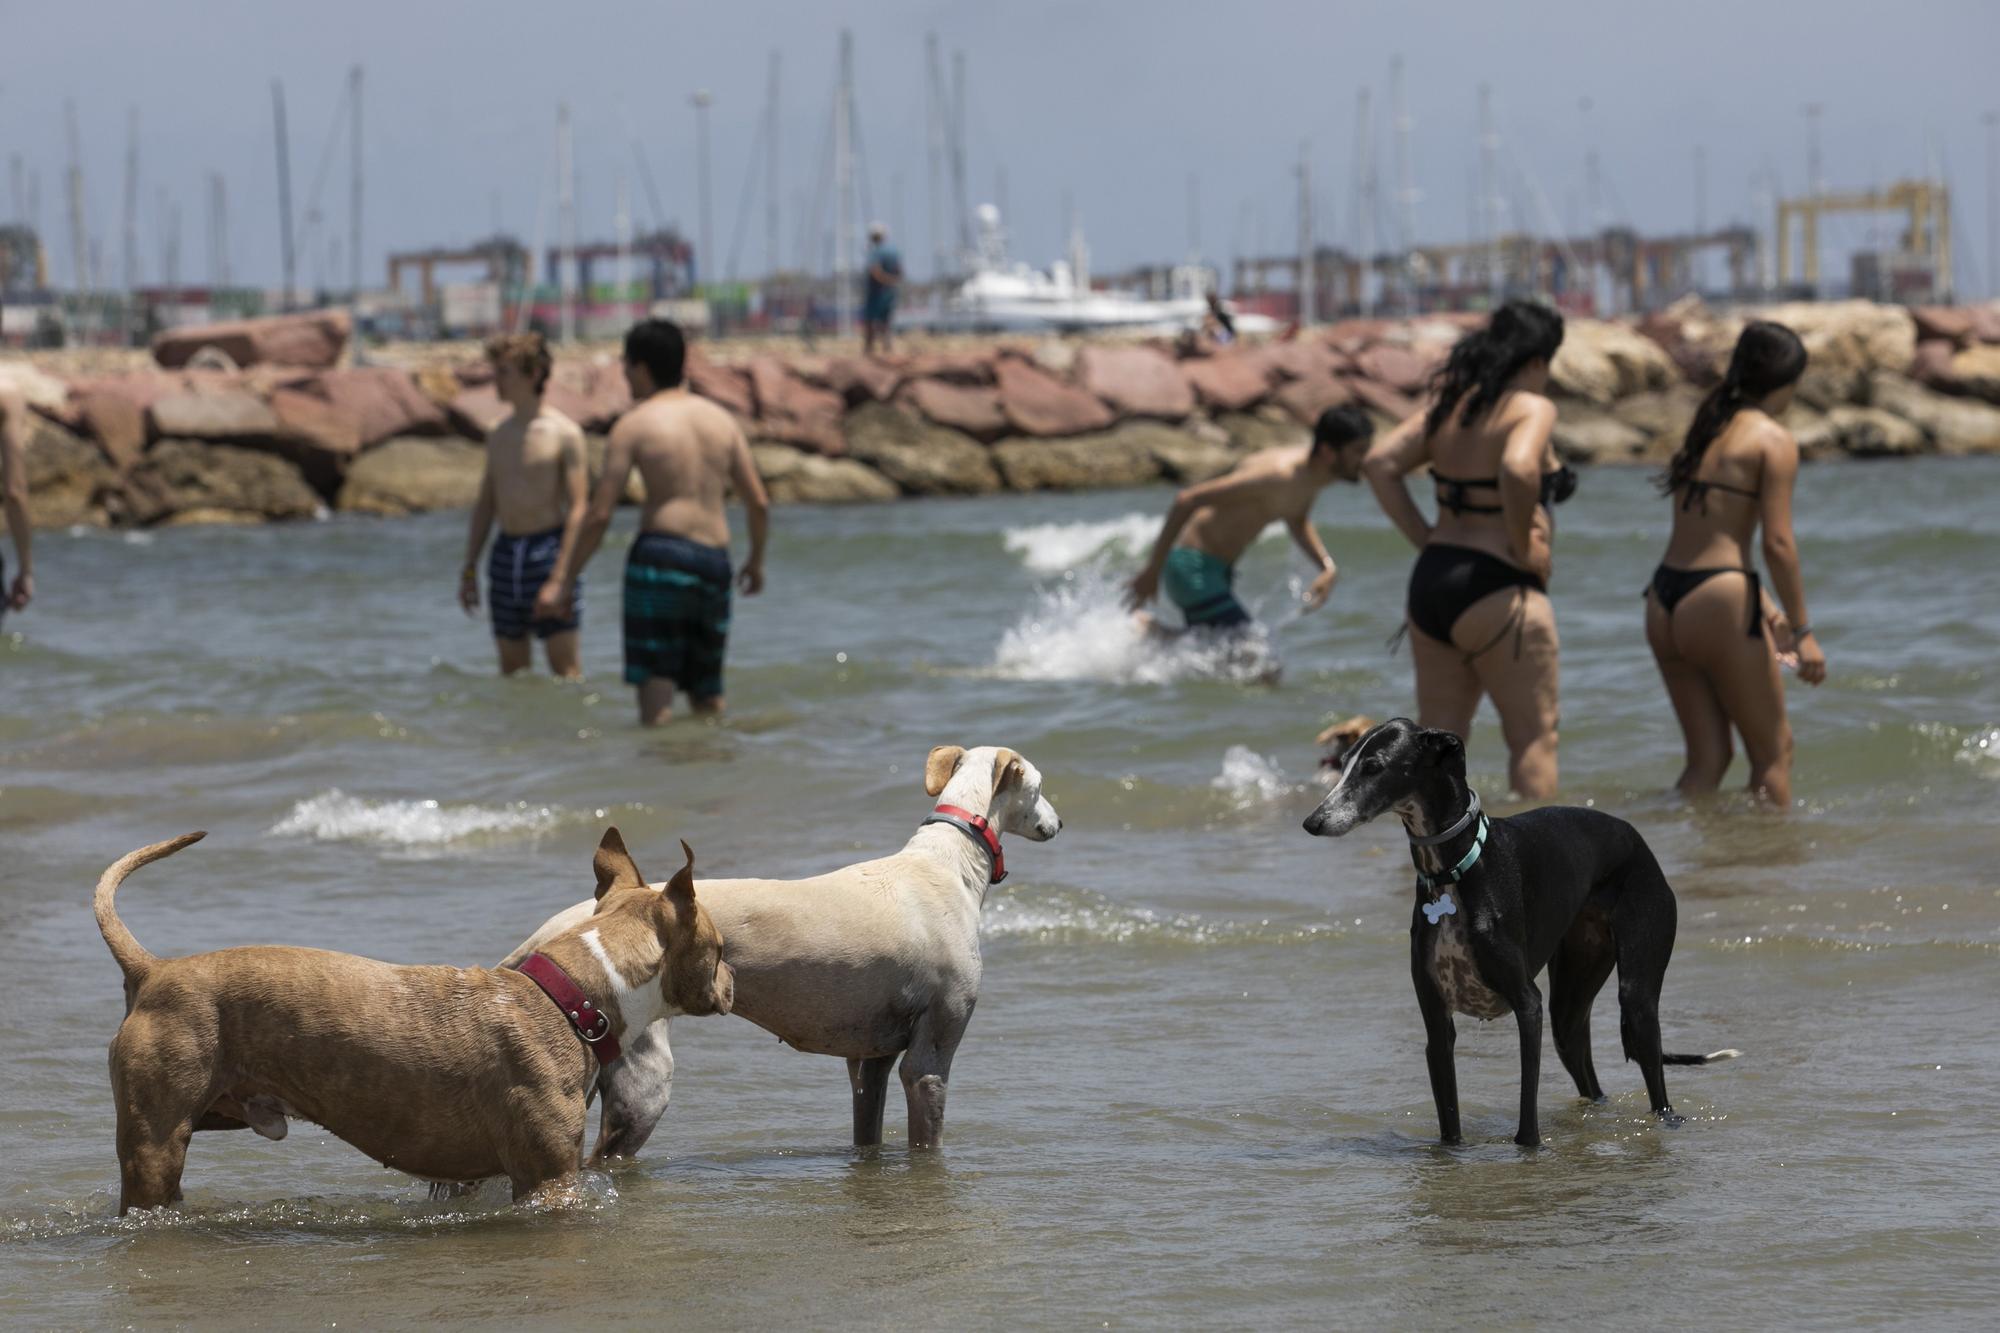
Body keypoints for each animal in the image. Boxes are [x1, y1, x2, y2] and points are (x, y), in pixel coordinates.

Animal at [95, 824, 736, 1208]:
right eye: (720, 947)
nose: (733, 977)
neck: (571, 995)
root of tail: (153, 970)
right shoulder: (549, 1183)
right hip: (157, 1140)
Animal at [500, 740, 1064, 1144]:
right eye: (1040, 786)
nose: (1059, 824)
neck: (947, 863)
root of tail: (546, 933)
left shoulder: (871, 1059)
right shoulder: (929, 1057)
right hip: (641, 1083)